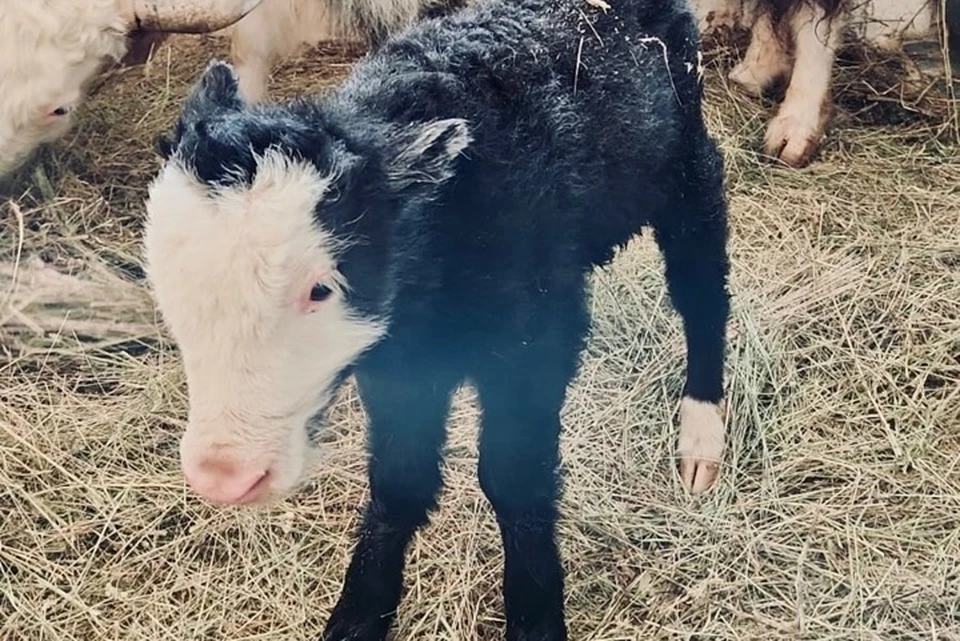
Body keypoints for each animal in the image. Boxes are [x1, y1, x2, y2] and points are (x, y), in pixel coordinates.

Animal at [141, 0, 728, 636]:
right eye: (165, 279)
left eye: (322, 289)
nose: (223, 476)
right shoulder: (395, 364)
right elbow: (401, 478)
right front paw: (360, 611)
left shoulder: (538, 342)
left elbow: (515, 478)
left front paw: (536, 612)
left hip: (687, 165)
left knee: (703, 289)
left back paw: (702, 436)